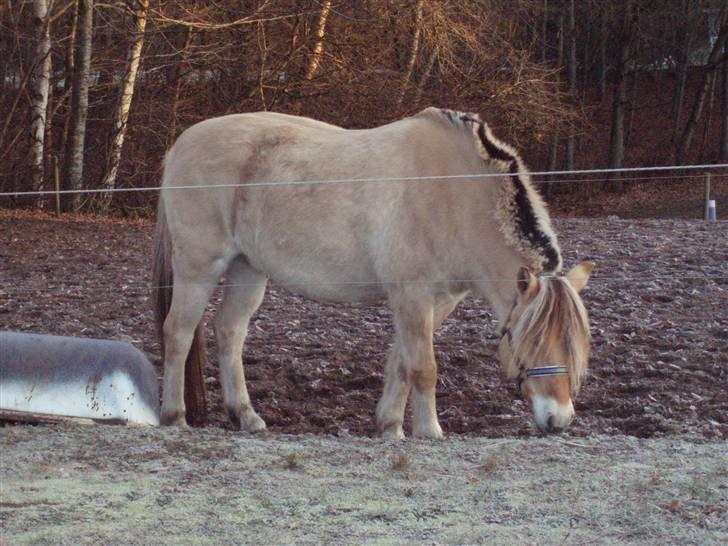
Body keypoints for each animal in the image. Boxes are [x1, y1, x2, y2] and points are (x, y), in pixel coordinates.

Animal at [152, 108, 592, 436]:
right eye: (531, 340)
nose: (558, 419)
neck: (452, 193)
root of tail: (179, 145)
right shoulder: (412, 295)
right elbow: (424, 368)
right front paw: (429, 432)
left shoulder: (437, 302)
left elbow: (401, 362)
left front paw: (390, 427)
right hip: (199, 267)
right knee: (178, 331)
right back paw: (174, 416)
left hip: (248, 269)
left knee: (229, 332)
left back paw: (246, 416)